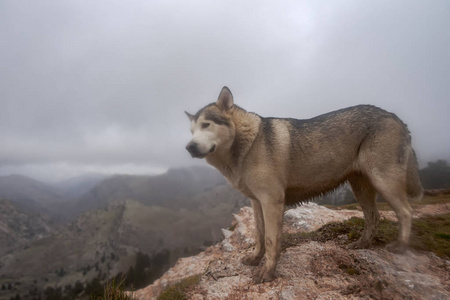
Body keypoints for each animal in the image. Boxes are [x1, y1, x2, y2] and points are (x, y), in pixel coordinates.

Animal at [185, 86, 424, 284]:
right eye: (191, 131)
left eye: (206, 125)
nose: (189, 147)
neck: (245, 146)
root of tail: (394, 117)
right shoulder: (256, 202)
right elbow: (260, 236)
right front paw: (255, 259)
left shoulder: (272, 201)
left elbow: (271, 240)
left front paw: (267, 272)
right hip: (361, 187)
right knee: (374, 216)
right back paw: (362, 244)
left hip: (383, 181)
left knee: (406, 211)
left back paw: (400, 246)